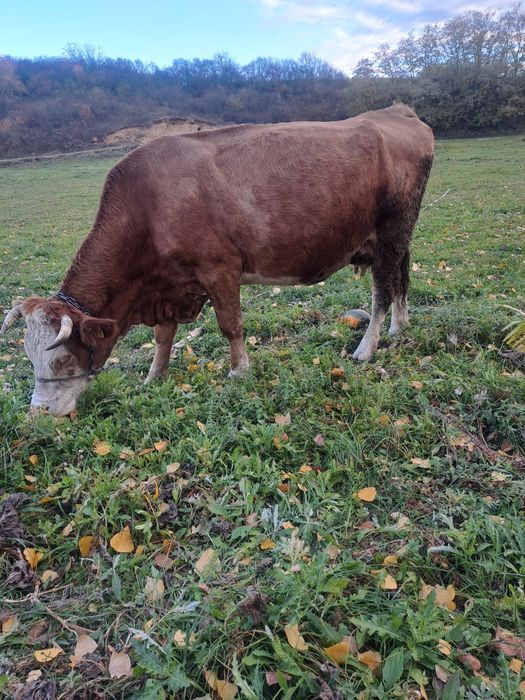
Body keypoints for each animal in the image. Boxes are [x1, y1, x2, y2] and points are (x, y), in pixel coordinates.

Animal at [1, 104, 434, 417]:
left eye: (60, 361)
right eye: (28, 357)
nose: (38, 414)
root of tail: (396, 111)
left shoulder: (219, 269)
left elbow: (230, 325)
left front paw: (239, 371)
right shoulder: (170, 284)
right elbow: (163, 337)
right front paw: (154, 376)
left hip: (392, 232)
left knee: (382, 291)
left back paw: (367, 348)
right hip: (397, 237)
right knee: (400, 280)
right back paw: (399, 326)